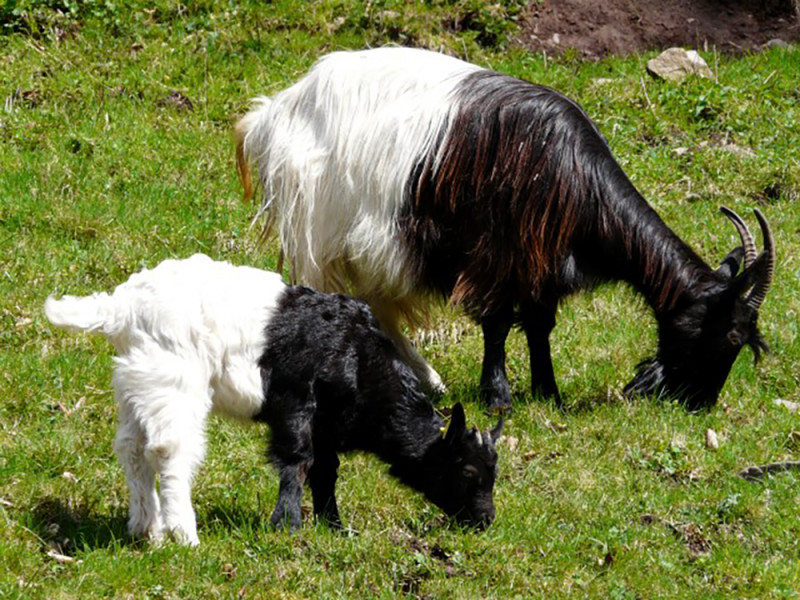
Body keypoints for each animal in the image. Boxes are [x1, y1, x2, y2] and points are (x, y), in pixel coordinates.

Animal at [236, 48, 776, 412]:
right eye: (729, 335)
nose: (698, 404)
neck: (568, 173)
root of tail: (273, 112)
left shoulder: (542, 261)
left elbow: (539, 325)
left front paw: (548, 392)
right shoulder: (495, 253)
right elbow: (496, 322)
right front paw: (498, 397)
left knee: (376, 305)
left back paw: (421, 378)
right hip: (317, 226)